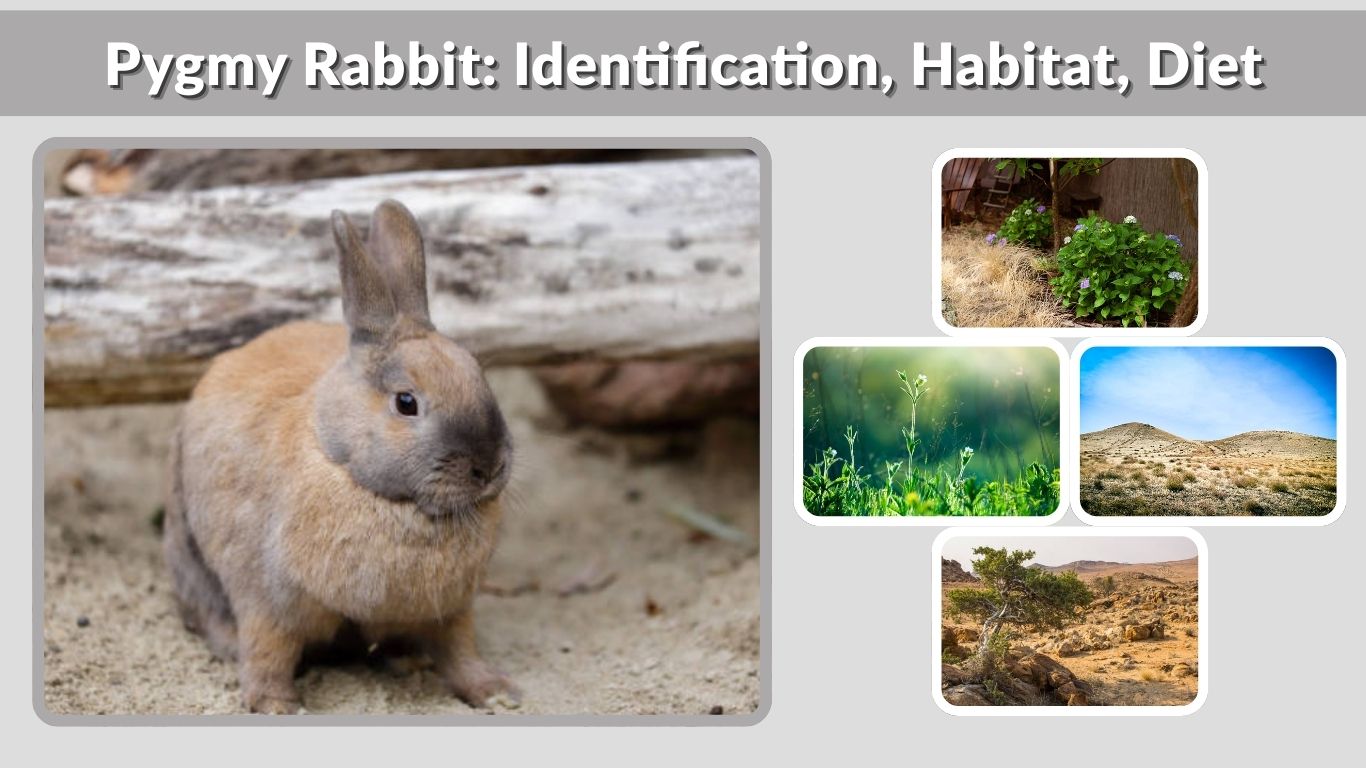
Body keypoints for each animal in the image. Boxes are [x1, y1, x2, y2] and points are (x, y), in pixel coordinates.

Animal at [162, 200, 517, 714]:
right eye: (406, 402)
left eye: (478, 374)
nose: (489, 467)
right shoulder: (267, 603)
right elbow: (268, 653)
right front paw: (278, 707)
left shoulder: (452, 609)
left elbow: (460, 651)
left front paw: (495, 692)